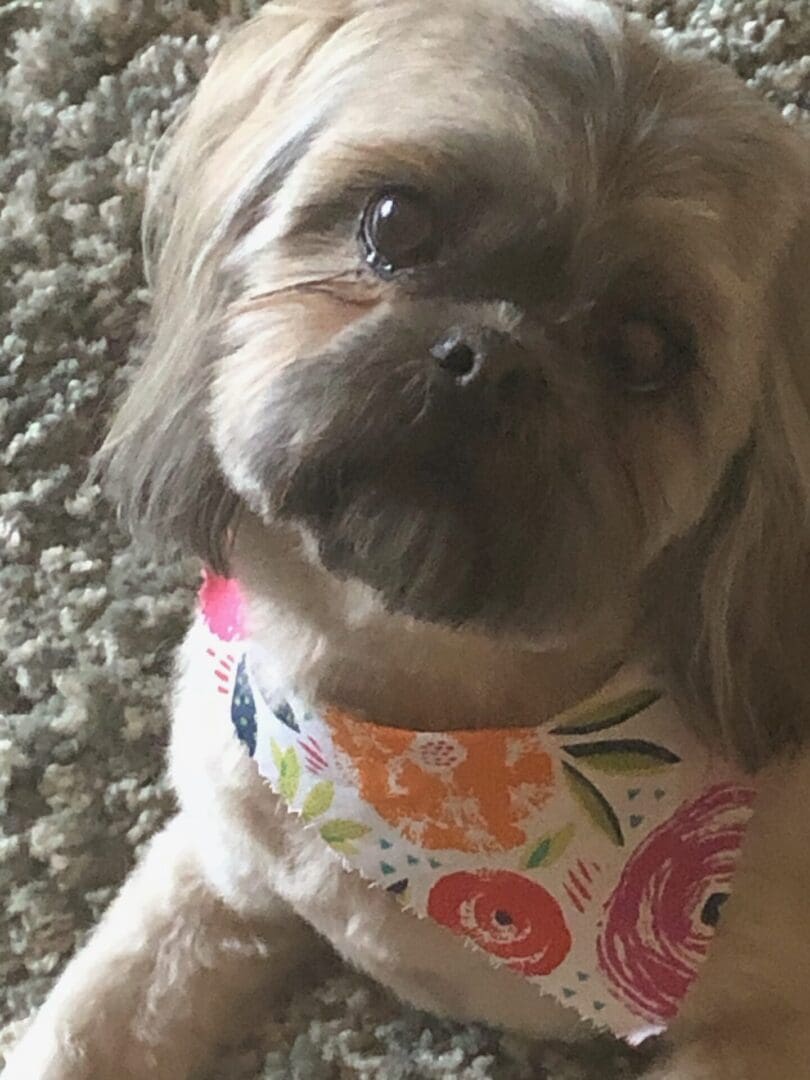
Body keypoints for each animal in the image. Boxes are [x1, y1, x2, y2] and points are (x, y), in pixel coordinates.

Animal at [3, 0, 807, 1075]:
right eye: (394, 222)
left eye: (646, 349)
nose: (489, 357)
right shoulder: (216, 867)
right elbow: (81, 1030)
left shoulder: (767, 1028)